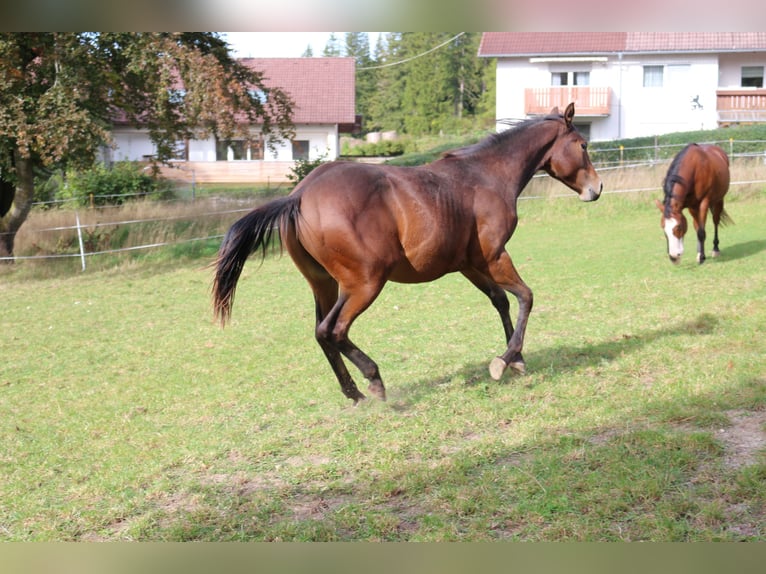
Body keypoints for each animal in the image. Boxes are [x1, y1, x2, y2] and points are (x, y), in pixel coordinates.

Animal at [213, 102, 603, 404]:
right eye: (582, 144)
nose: (596, 189)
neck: (486, 175)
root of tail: (299, 195)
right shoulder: (495, 256)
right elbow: (526, 296)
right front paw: (503, 360)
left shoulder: (469, 264)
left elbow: (501, 300)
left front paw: (516, 359)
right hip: (364, 283)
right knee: (332, 330)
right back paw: (374, 381)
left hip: (324, 284)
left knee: (321, 332)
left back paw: (355, 393)